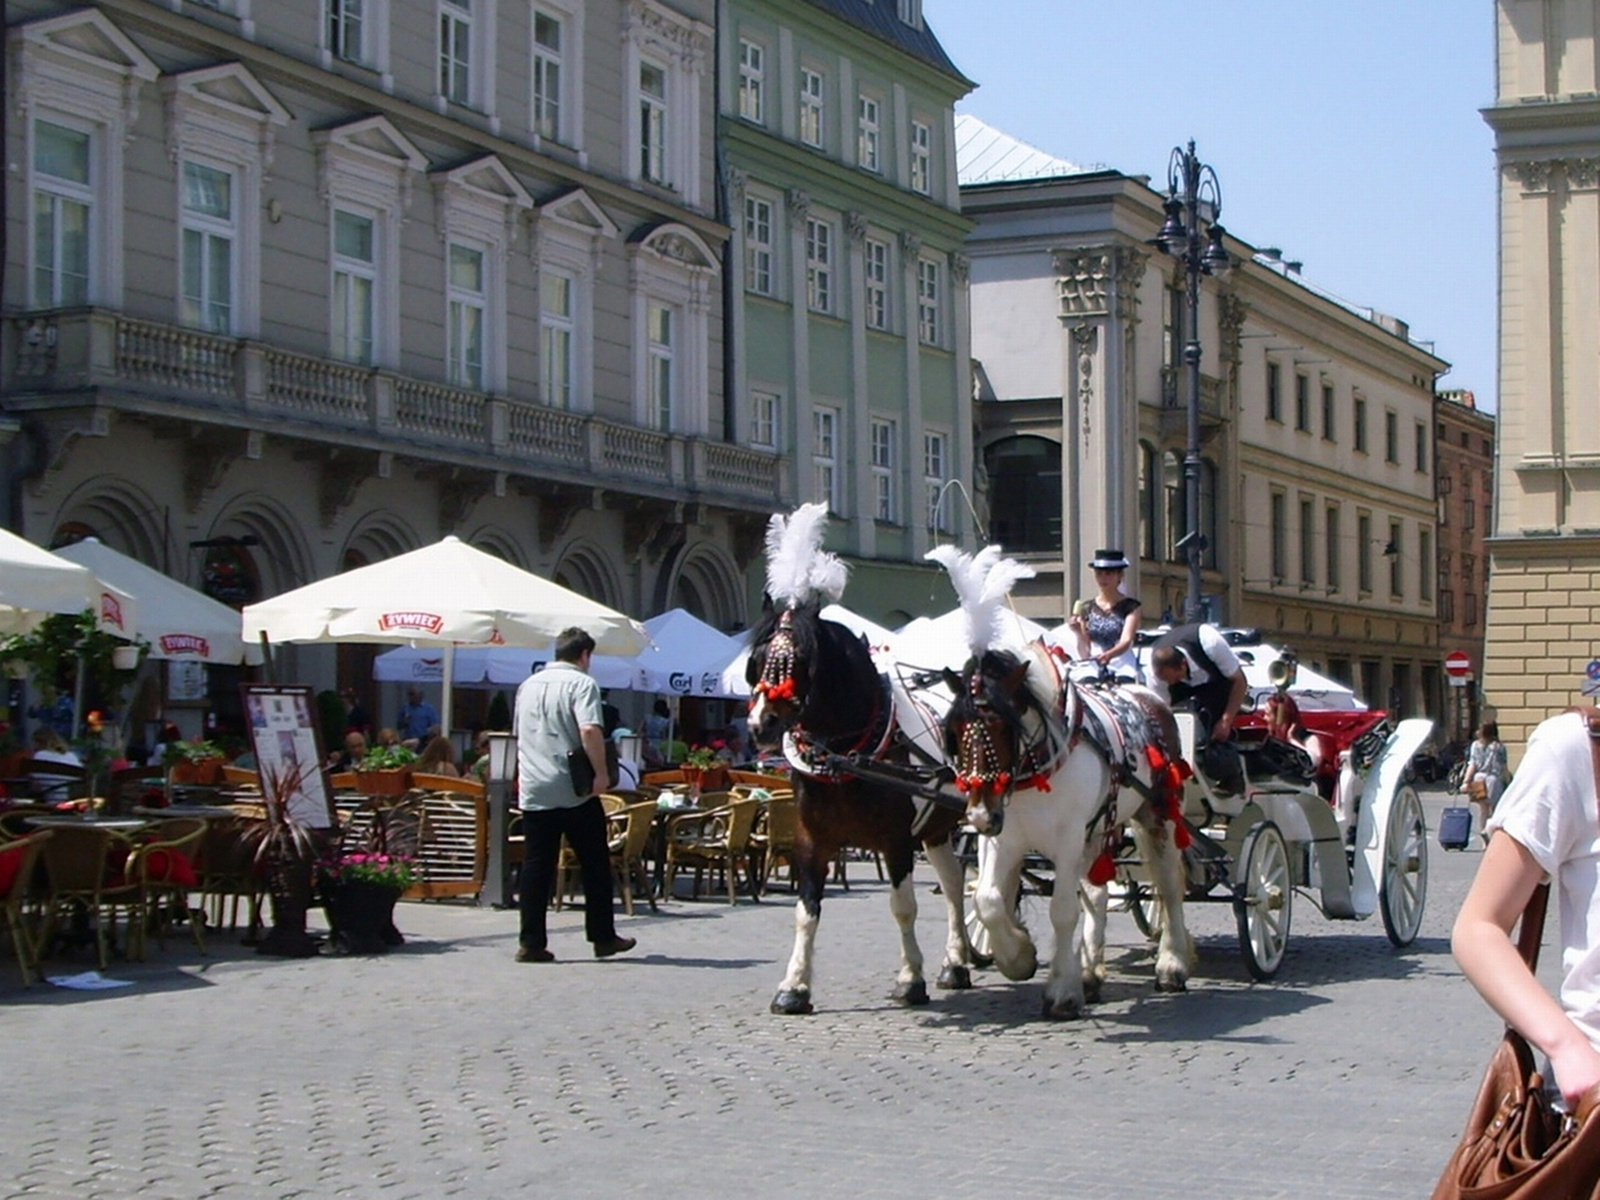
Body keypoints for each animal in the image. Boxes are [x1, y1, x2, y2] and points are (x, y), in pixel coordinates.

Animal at [739, 601, 972, 1017]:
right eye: (758, 659)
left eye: (799, 660)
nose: (759, 725)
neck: (845, 756)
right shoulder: (812, 841)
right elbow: (806, 912)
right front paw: (794, 986)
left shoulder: (897, 843)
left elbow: (903, 906)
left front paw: (910, 980)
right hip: (936, 830)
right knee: (953, 885)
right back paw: (956, 962)